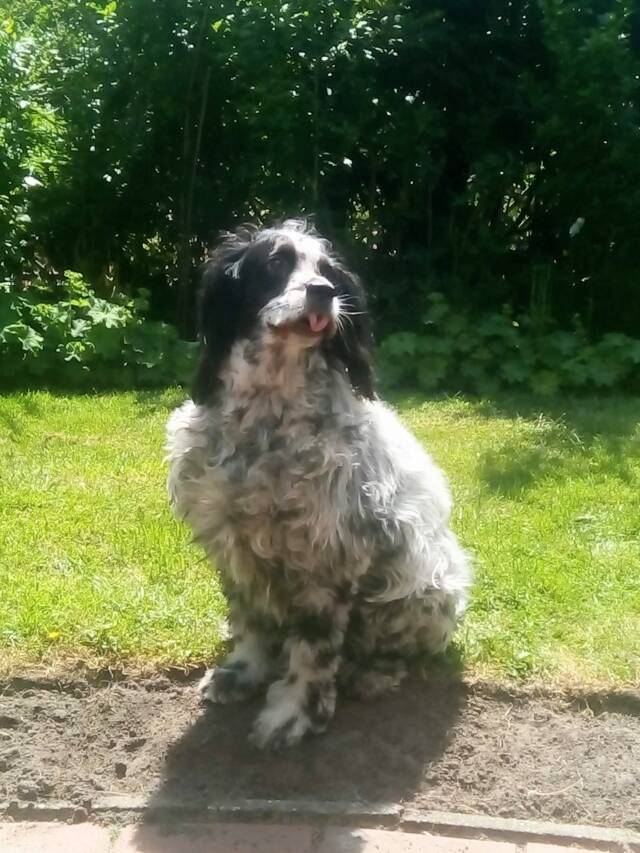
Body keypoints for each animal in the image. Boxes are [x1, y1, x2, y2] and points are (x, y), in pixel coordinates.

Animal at [166, 219, 471, 749]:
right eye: (276, 262)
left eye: (328, 271)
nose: (324, 293)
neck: (267, 424)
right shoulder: (234, 545)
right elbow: (250, 621)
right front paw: (243, 671)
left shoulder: (325, 557)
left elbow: (313, 651)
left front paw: (293, 714)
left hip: (421, 586)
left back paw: (371, 673)